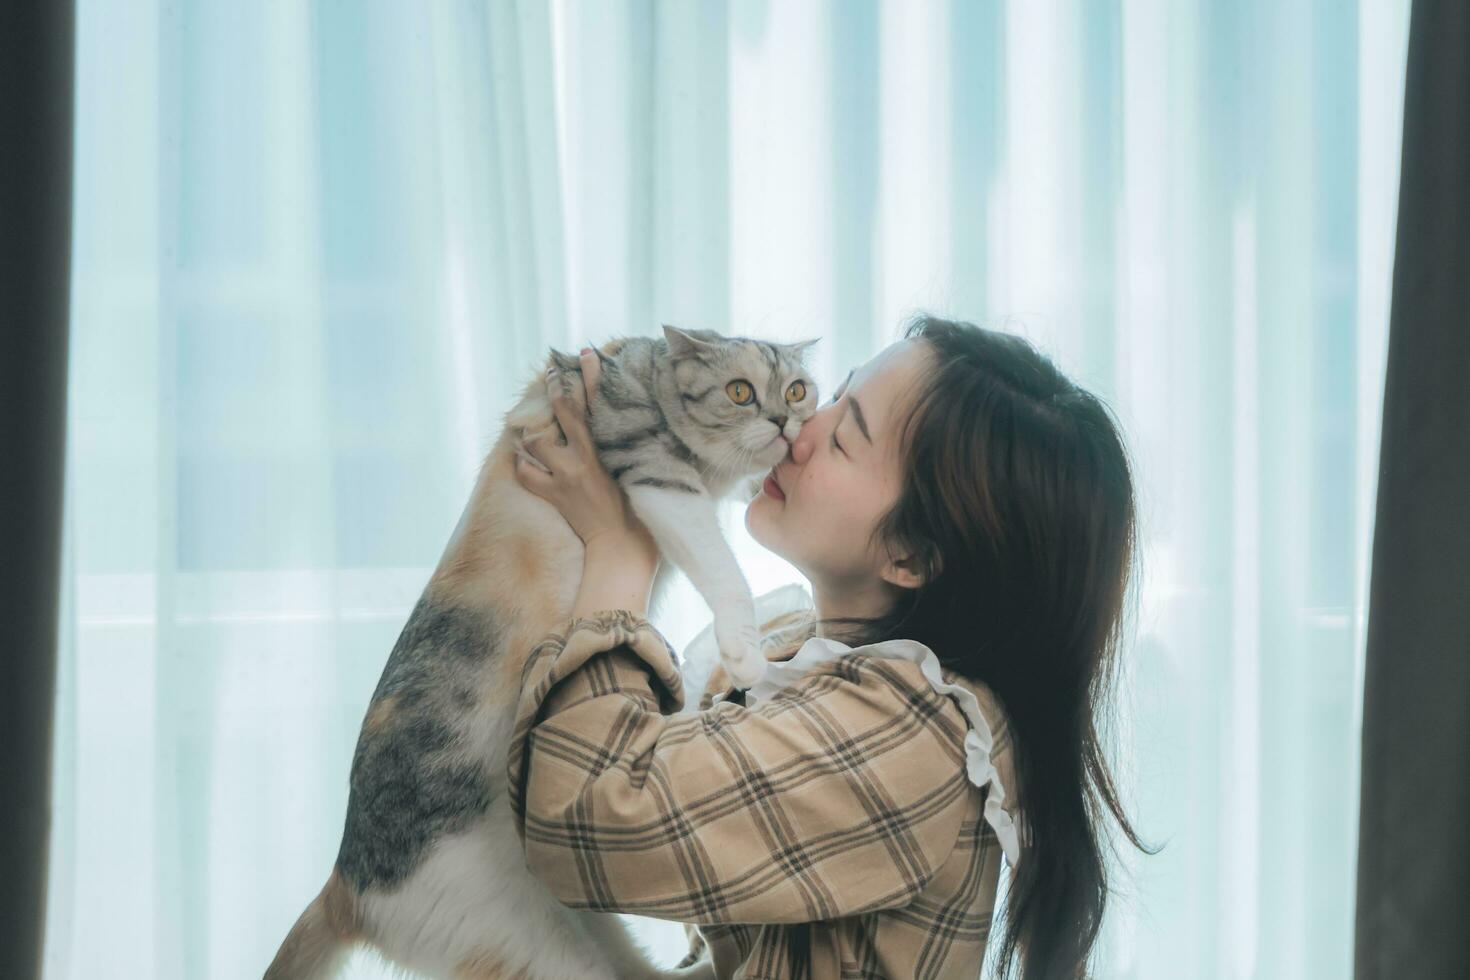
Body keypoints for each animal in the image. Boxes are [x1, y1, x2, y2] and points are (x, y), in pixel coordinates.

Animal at [260, 323, 823, 980]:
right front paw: (747, 649)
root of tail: (342, 884)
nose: (786, 422)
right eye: (739, 392)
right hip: (532, 940)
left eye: (797, 389)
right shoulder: (655, 474)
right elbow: (722, 568)